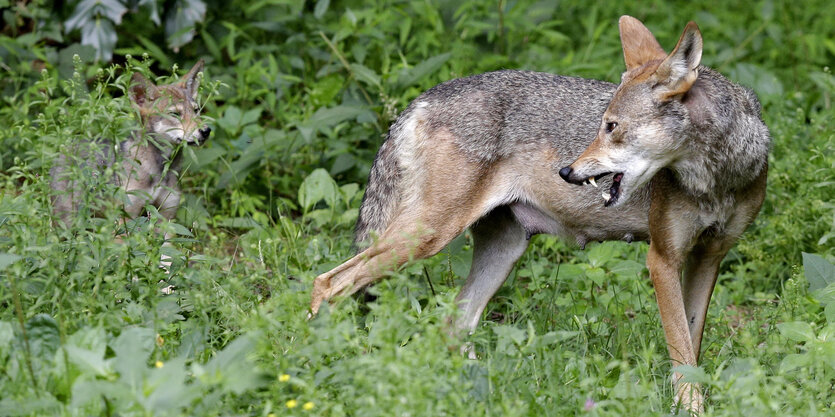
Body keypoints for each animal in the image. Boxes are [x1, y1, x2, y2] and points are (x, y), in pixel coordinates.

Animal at [312, 17, 772, 412]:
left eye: (611, 127)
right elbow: (681, 350)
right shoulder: (662, 259)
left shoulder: (709, 257)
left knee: (453, 325)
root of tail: (422, 98)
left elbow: (691, 346)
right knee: (327, 283)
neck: (719, 178)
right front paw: (690, 409)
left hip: (502, 252)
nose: (567, 171)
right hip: (423, 239)